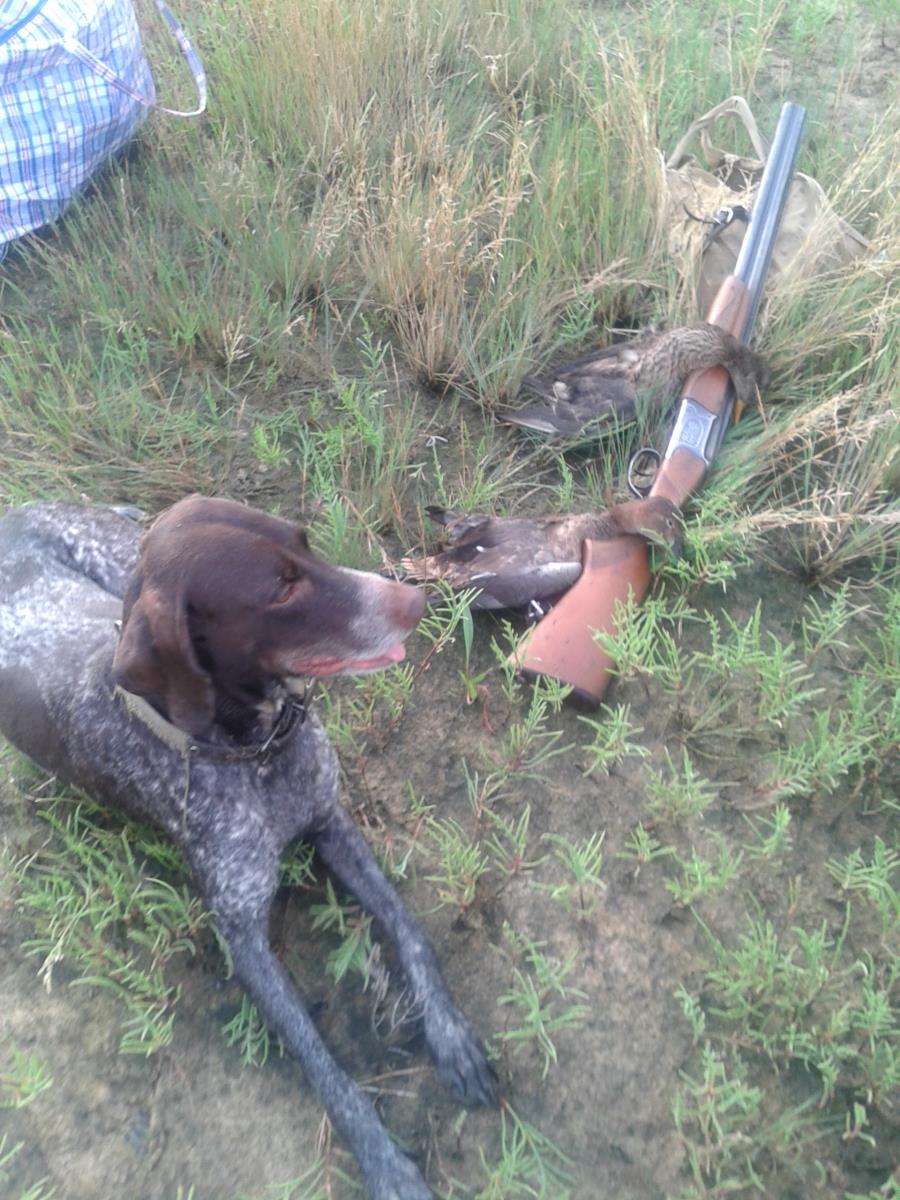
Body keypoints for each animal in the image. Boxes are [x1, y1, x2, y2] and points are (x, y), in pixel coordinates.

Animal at [0, 496, 495, 1200]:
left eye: (306, 543)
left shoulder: (331, 822)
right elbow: (320, 1062)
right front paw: (384, 1162)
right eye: (281, 589)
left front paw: (450, 1036)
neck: (255, 752)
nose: (418, 598)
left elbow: (409, 931)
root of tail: (19, 510)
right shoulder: (242, 938)